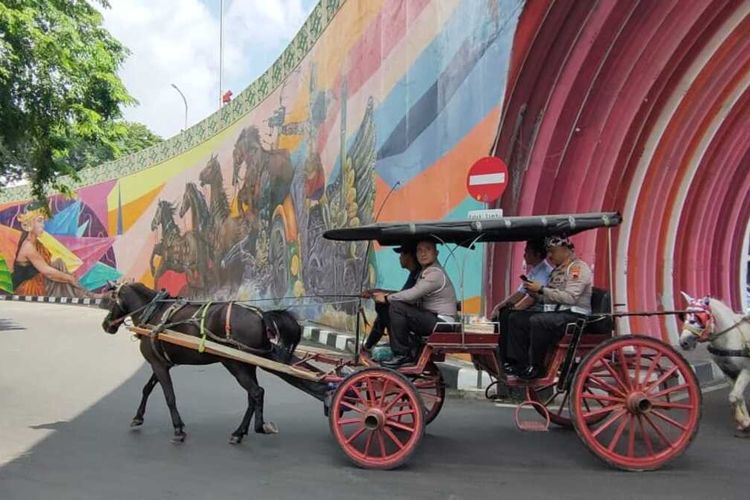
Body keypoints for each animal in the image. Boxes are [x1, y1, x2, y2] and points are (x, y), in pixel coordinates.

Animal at [680, 292, 750, 438]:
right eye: (685, 316)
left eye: (698, 318)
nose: (684, 342)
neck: (730, 337)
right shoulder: (728, 371)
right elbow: (737, 396)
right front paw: (744, 421)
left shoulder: (746, 370)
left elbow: (734, 396)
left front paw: (744, 421)